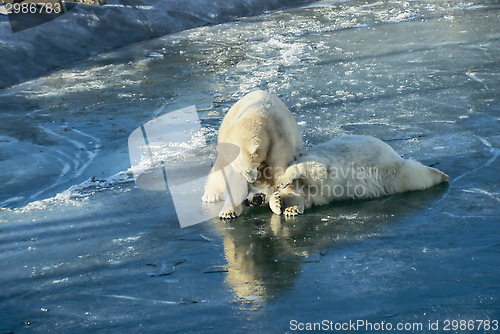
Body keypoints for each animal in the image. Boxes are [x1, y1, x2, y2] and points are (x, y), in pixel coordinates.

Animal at [201, 90, 302, 218]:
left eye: (249, 169)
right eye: (242, 172)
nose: (251, 181)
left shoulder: (279, 137)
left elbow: (280, 168)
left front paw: (289, 205)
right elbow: (234, 180)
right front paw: (229, 211)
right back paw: (211, 195)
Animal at [252, 136, 448, 217]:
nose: (249, 201)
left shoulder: (311, 159)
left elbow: (315, 169)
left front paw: (284, 181)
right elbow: (301, 197)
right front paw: (284, 206)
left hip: (385, 164)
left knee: (410, 174)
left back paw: (442, 174)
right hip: (390, 178)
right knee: (410, 178)